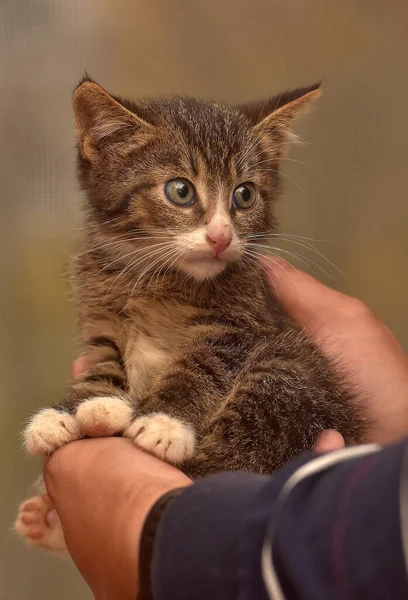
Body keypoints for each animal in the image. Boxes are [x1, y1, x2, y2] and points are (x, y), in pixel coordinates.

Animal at [15, 77, 364, 552]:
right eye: (180, 191)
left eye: (244, 195)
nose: (221, 237)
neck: (159, 279)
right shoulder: (100, 317)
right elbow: (103, 363)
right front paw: (80, 407)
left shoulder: (243, 325)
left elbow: (199, 368)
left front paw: (163, 422)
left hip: (291, 363)